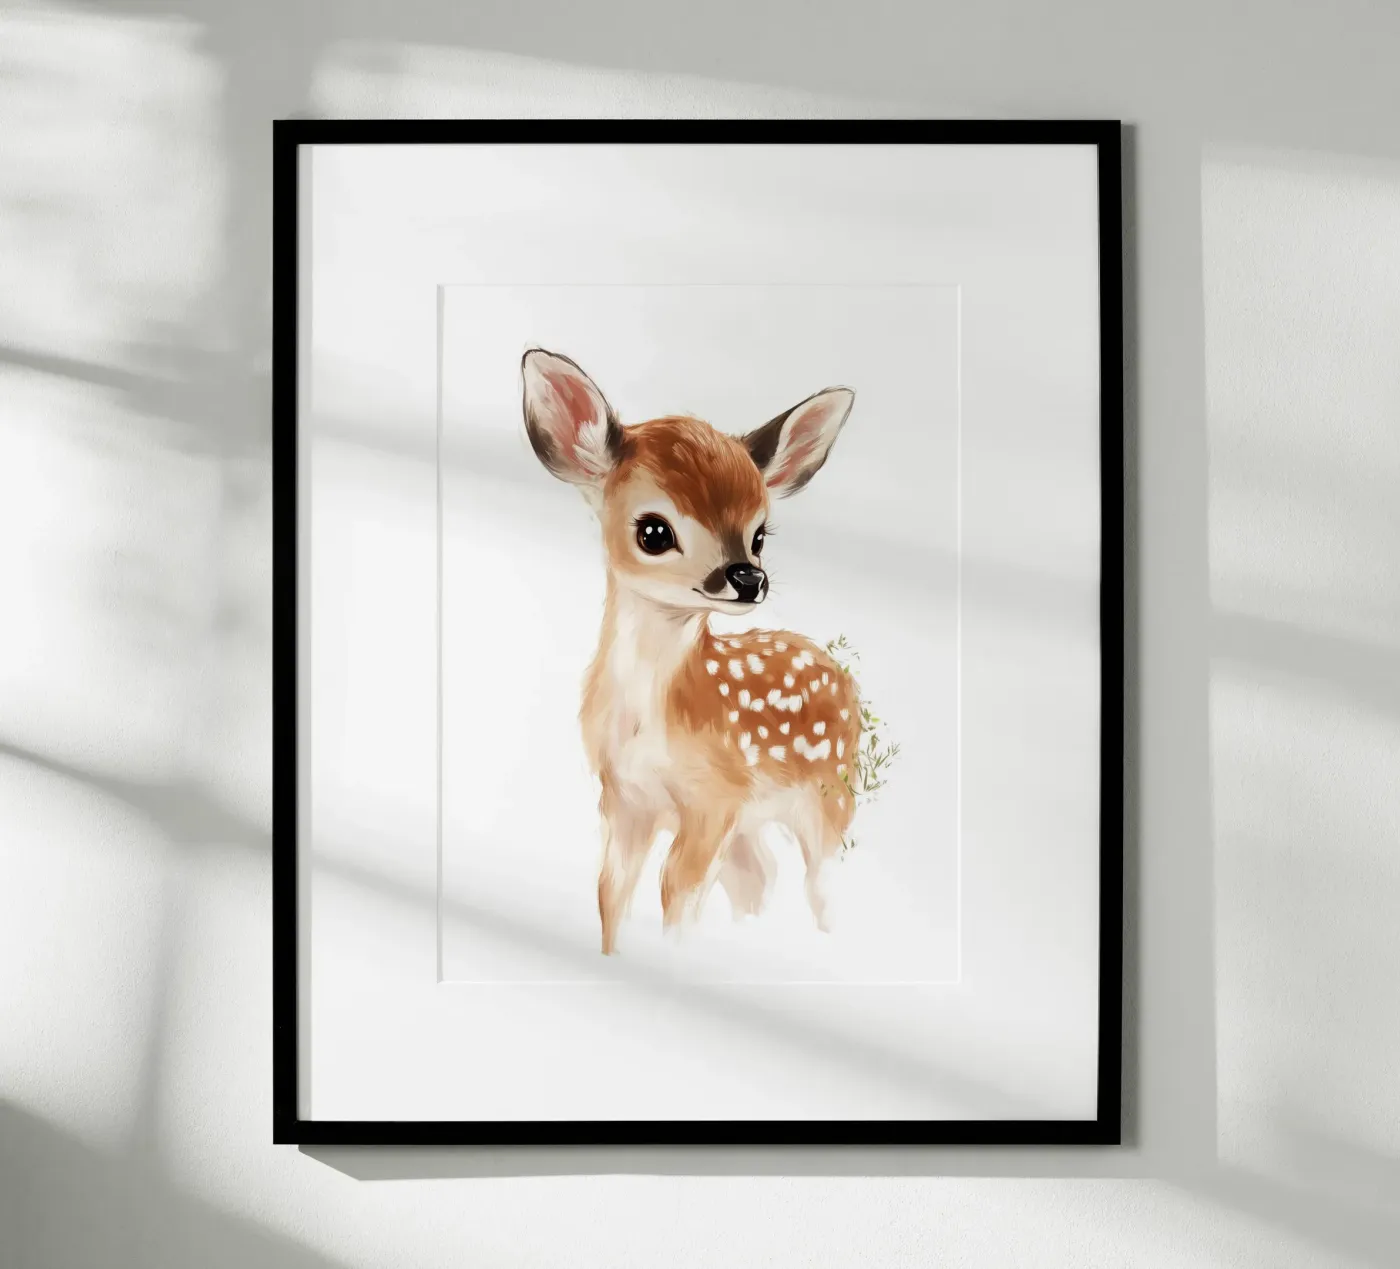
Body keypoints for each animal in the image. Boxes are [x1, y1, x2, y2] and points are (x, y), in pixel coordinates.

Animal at [521, 348, 863, 955]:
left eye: (759, 535)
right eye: (654, 531)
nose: (748, 578)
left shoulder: (715, 798)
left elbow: (674, 894)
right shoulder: (623, 799)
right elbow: (611, 894)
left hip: (830, 794)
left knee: (822, 884)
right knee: (760, 876)